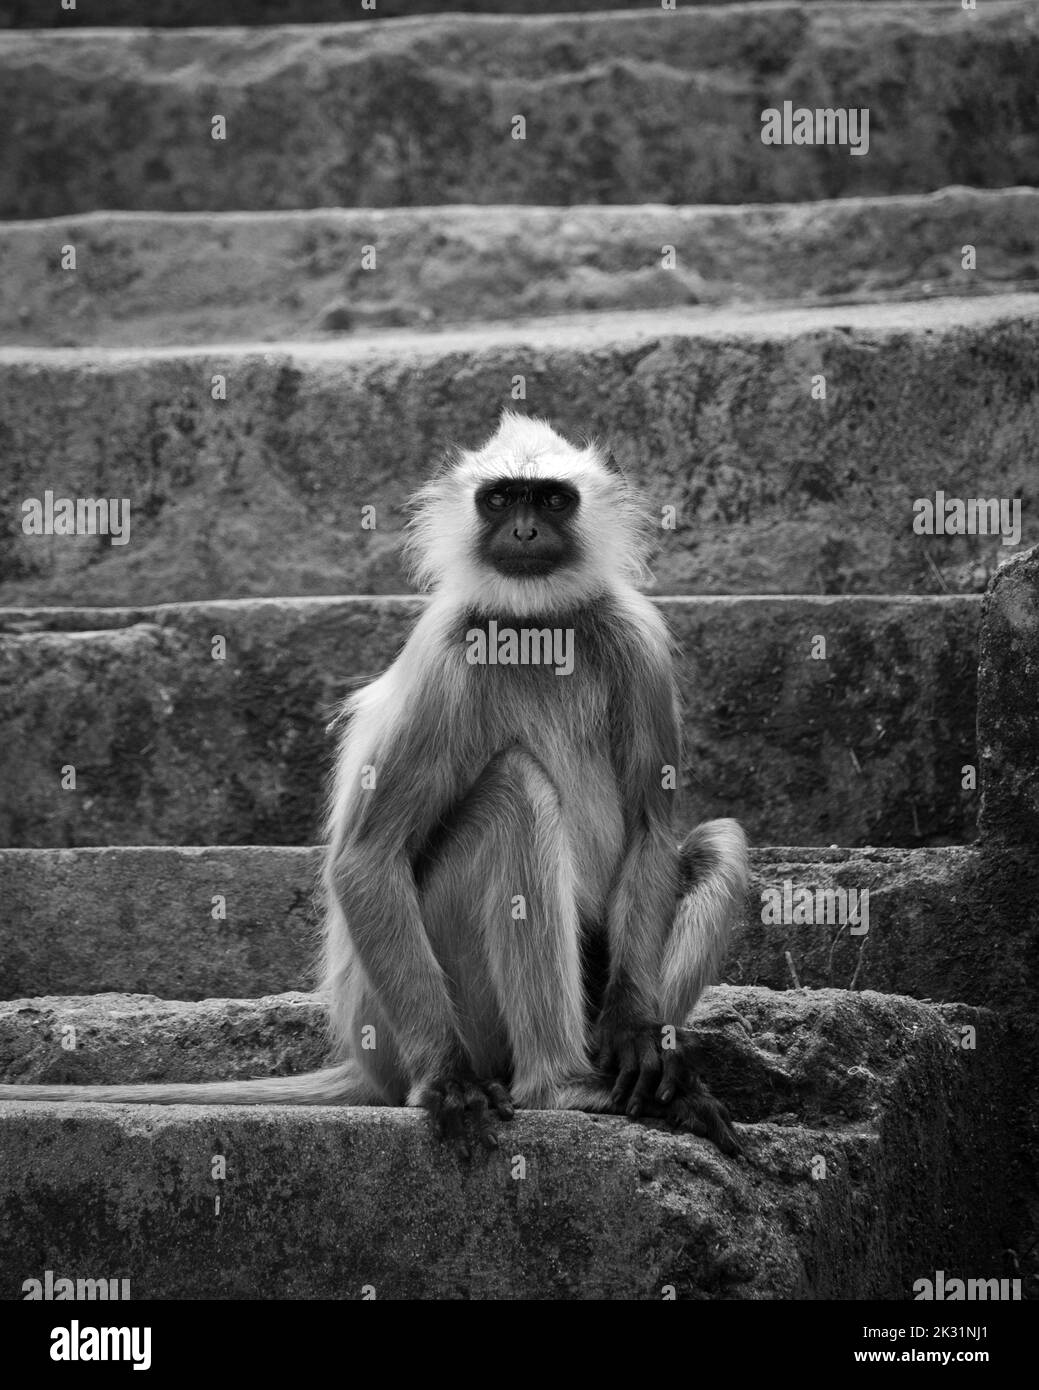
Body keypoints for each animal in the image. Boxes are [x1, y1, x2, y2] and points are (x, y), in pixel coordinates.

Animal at [0, 411, 745, 1150]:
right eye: (502, 499)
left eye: (553, 500)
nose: (526, 532)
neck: (534, 627)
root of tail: (365, 1061)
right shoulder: (445, 656)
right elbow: (367, 858)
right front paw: (449, 1082)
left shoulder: (638, 638)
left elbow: (651, 831)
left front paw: (638, 1035)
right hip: (413, 1019)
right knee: (516, 793)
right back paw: (554, 1083)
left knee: (721, 842)